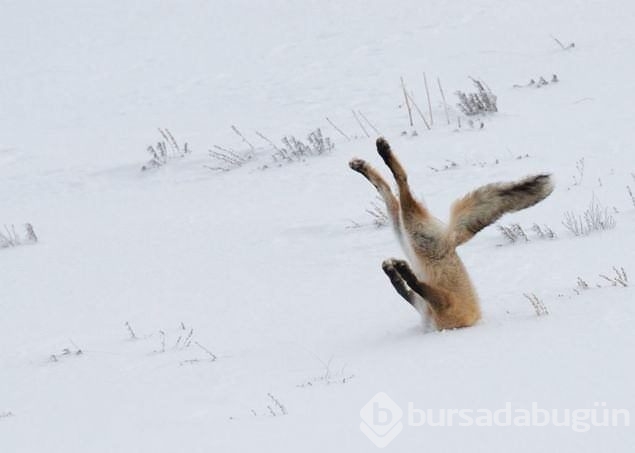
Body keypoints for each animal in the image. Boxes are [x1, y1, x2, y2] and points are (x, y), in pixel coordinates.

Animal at [350, 138, 556, 328]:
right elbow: (404, 288)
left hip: (411, 231)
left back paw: (381, 153)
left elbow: (414, 286)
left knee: (401, 184)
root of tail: (451, 239)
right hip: (404, 231)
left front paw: (400, 271)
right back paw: (364, 164)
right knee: (388, 191)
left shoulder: (442, 304)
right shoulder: (427, 304)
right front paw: (394, 271)